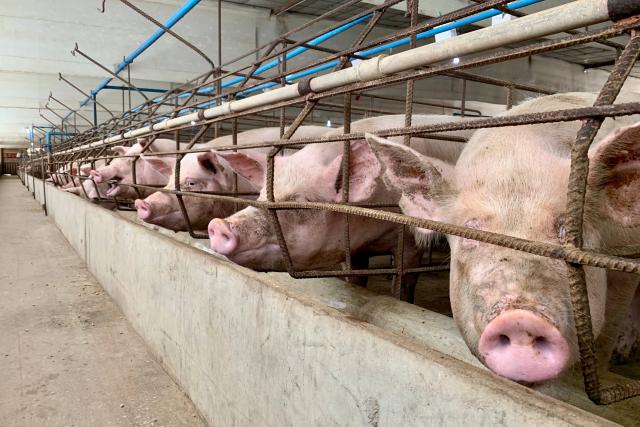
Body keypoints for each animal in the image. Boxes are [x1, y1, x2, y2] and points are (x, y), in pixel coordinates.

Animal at [207, 115, 473, 300]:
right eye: (262, 195)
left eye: (300, 203)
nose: (219, 225)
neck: (370, 228)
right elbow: (354, 280)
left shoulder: (409, 240)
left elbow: (404, 280)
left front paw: (400, 297)